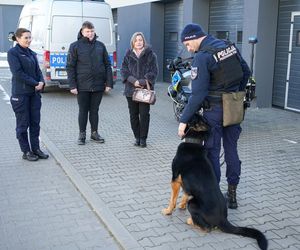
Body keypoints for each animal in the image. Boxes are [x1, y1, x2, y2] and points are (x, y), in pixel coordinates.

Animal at [163, 115, 268, 250]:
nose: (181, 115)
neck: (194, 141)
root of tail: (223, 219)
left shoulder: (175, 180)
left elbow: (172, 199)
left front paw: (168, 211)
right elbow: (185, 193)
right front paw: (181, 205)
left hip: (193, 204)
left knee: (207, 228)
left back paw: (191, 220)